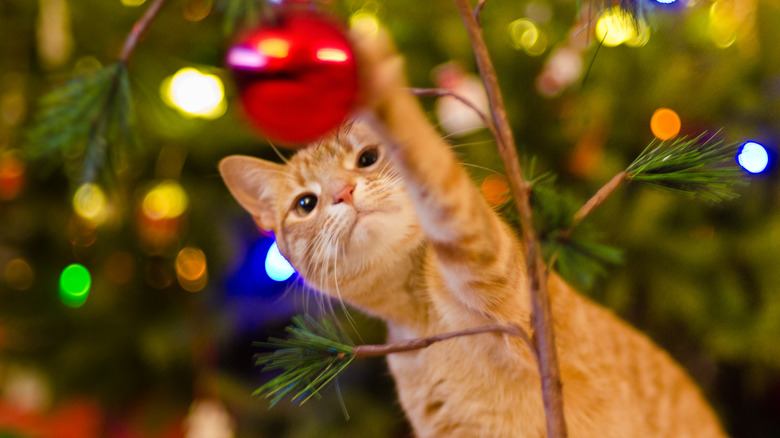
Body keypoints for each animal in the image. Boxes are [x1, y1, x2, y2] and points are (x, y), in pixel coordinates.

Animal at [218, 25, 724, 436]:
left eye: (367, 158)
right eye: (306, 204)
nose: (343, 191)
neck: (422, 317)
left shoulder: (488, 258)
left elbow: (434, 173)